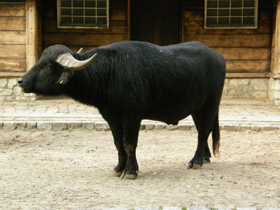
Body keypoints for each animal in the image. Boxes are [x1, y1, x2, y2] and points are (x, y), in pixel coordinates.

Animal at [18, 40, 226, 179]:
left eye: (46, 65)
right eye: (39, 60)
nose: (21, 81)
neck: (110, 72)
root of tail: (218, 57)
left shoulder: (132, 116)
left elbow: (129, 144)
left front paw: (131, 171)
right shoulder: (112, 117)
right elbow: (118, 144)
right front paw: (119, 168)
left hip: (209, 104)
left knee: (203, 132)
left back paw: (196, 161)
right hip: (196, 108)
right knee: (204, 131)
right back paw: (205, 157)